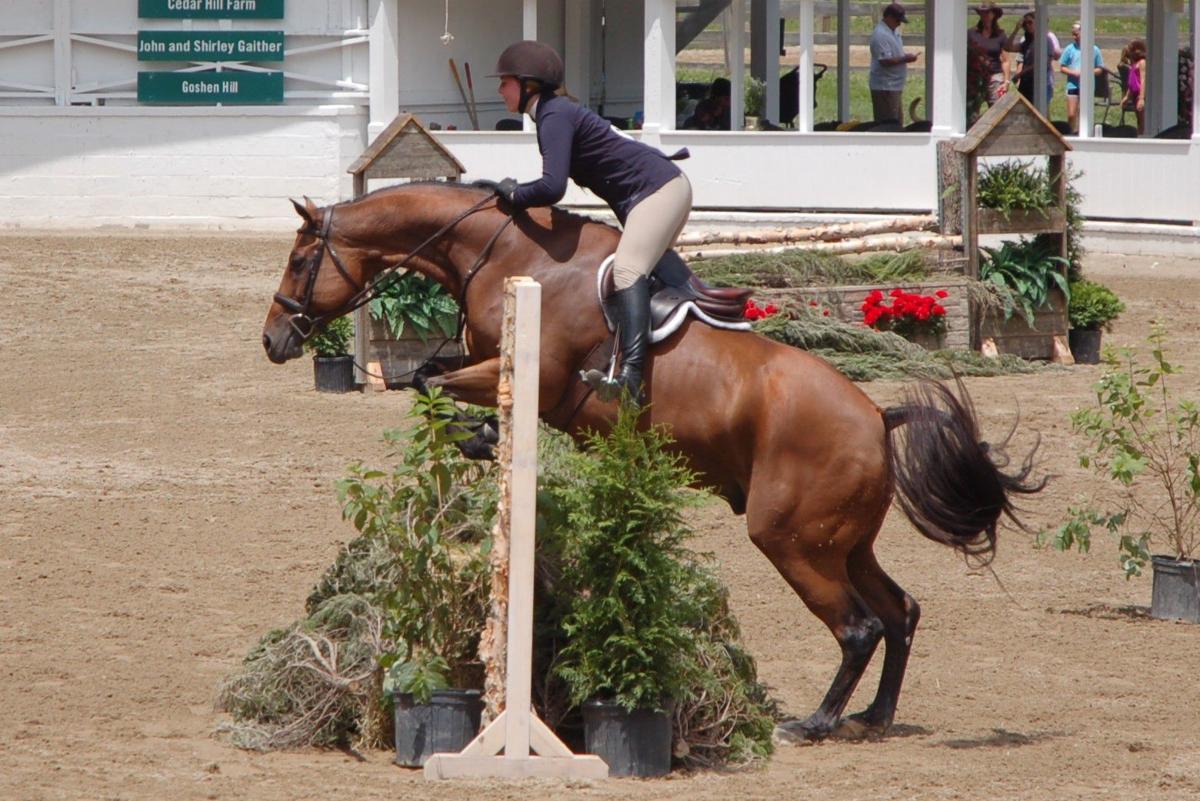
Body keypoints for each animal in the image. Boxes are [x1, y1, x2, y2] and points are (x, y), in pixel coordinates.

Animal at [262, 182, 1041, 740]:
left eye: (300, 261)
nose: (273, 340)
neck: (511, 253)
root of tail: (879, 418)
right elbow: (428, 376)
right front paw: (476, 435)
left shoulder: (530, 374)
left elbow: (430, 381)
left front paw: (477, 433)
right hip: (842, 541)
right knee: (899, 609)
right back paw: (874, 716)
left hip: (791, 539)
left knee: (859, 626)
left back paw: (814, 723)